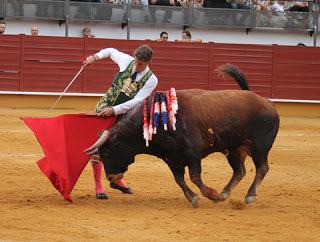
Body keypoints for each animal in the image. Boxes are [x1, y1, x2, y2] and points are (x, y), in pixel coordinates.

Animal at [85, 64, 280, 208]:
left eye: (108, 152)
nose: (111, 178)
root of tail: (265, 102)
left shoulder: (193, 154)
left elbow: (194, 177)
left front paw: (211, 195)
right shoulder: (171, 158)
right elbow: (179, 179)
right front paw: (194, 197)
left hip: (259, 146)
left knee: (262, 168)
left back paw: (249, 196)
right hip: (234, 149)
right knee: (239, 171)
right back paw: (225, 193)